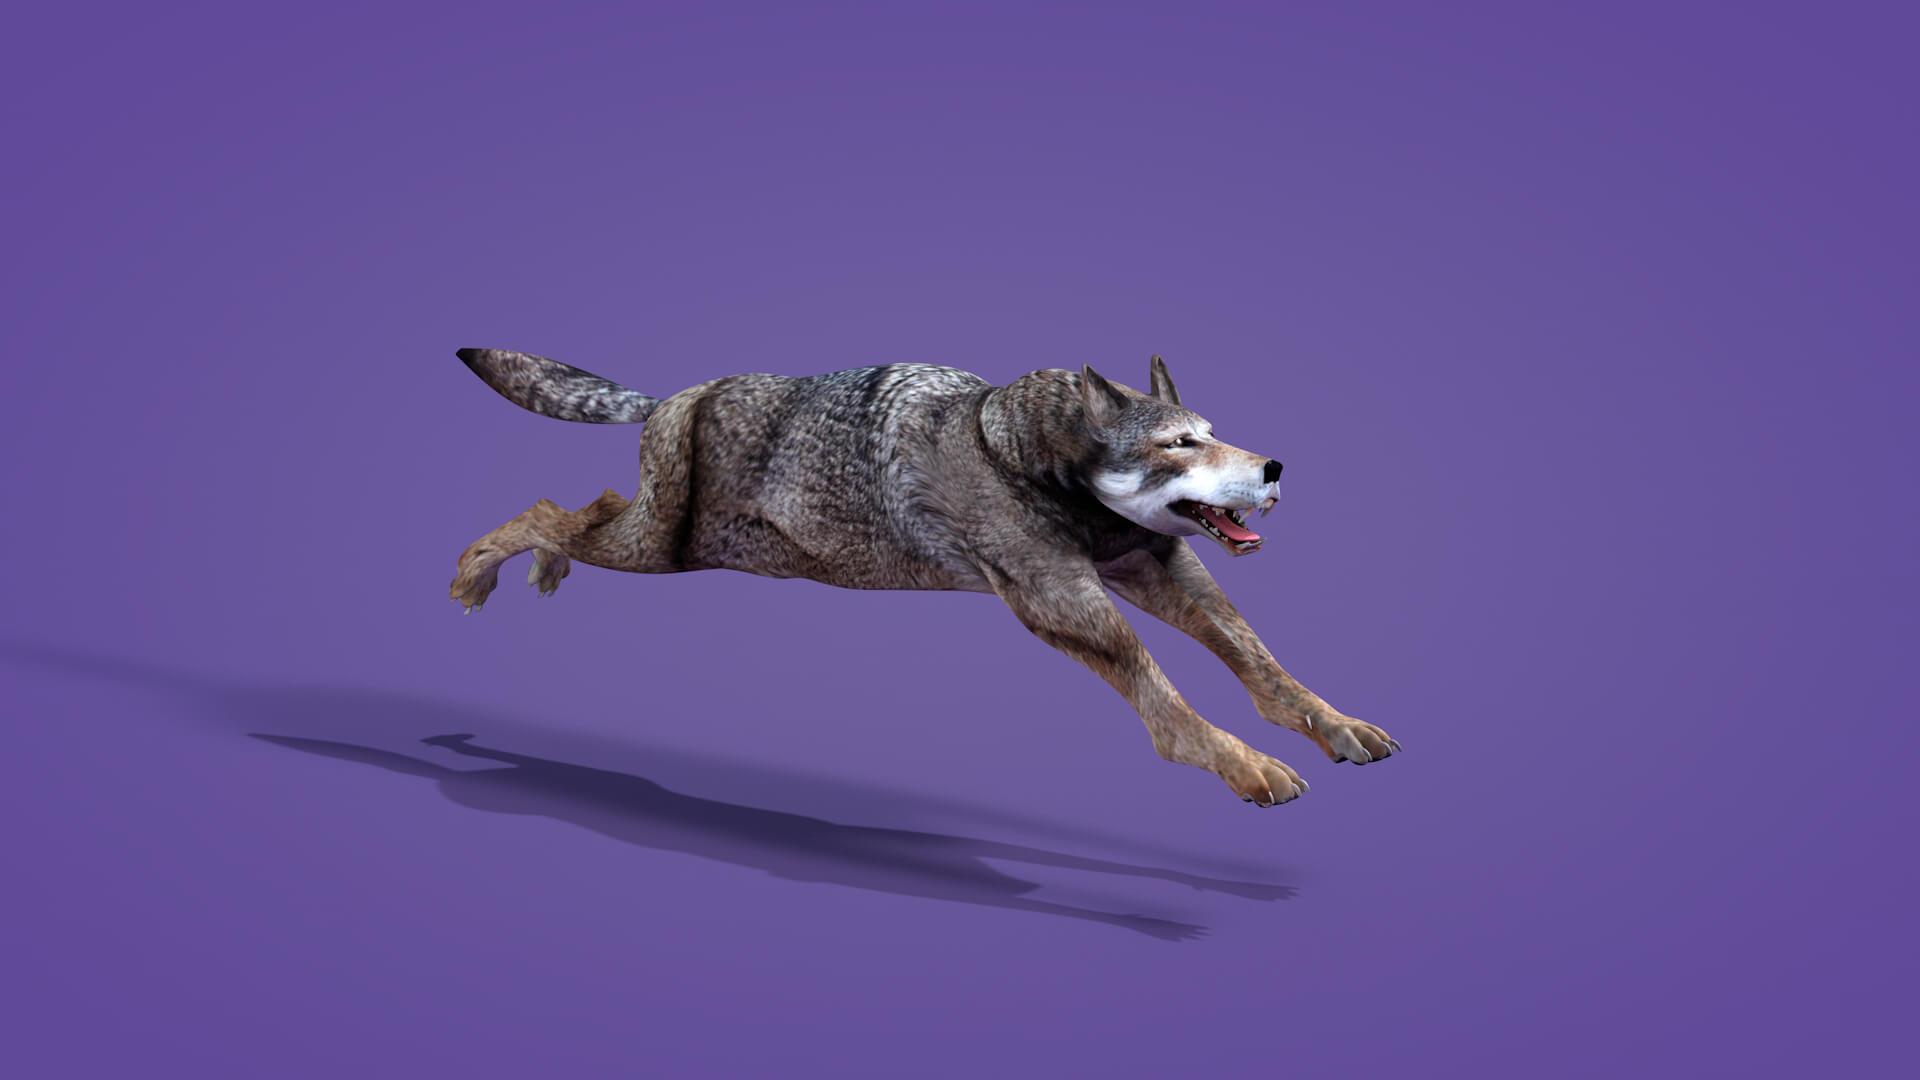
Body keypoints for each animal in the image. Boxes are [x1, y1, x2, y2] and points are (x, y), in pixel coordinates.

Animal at [449, 349, 1400, 808]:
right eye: (1179, 443)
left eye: (1214, 432)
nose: (1275, 467)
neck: (1022, 453)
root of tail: (673, 396)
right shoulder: (1068, 601)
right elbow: (1171, 707)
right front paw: (1245, 766)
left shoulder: (1154, 567)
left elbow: (1264, 667)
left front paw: (1335, 724)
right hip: (664, 546)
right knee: (552, 509)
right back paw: (478, 573)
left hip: (692, 544)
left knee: (586, 506)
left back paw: (531, 568)